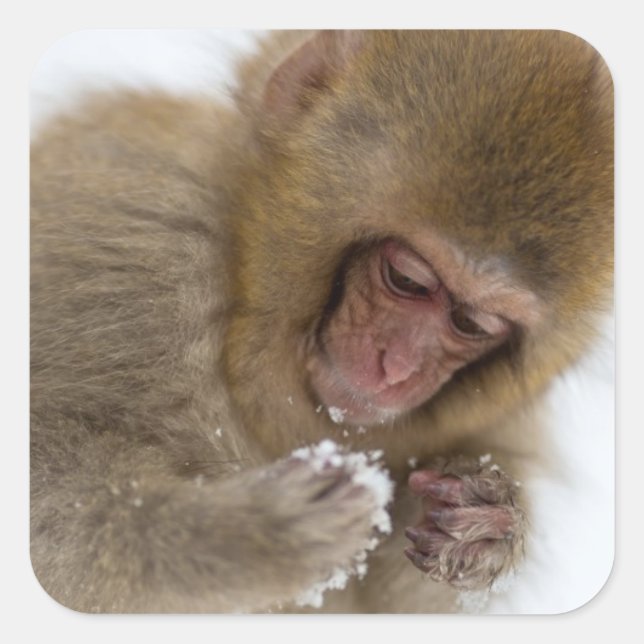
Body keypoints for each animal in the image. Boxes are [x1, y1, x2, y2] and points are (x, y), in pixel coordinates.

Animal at [30, 30, 613, 614]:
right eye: (407, 279)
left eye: (471, 323)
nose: (398, 368)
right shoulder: (135, 239)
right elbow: (49, 491)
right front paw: (251, 535)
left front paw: (484, 528)